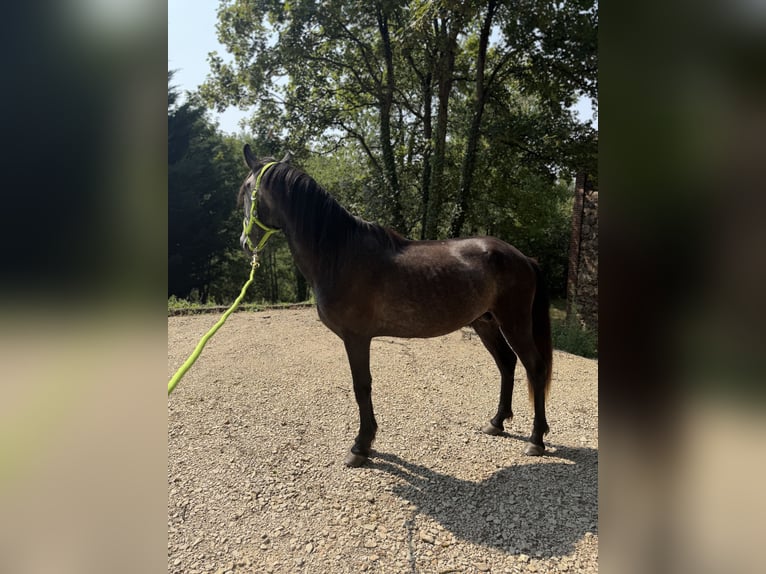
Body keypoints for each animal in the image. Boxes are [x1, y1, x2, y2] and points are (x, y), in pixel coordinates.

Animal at [238, 144, 552, 467]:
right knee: (507, 363)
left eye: (247, 189)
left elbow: (361, 386)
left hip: (514, 322)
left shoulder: (356, 338)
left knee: (535, 367)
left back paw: (536, 439)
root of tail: (523, 258)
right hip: (485, 322)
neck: (340, 254)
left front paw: (361, 446)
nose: (245, 243)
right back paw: (497, 422)